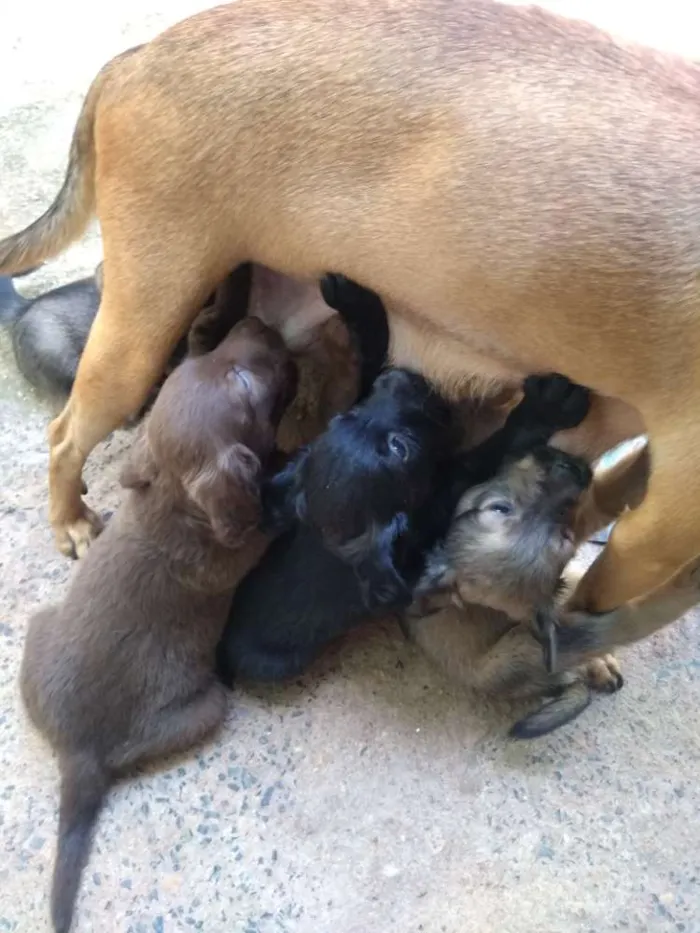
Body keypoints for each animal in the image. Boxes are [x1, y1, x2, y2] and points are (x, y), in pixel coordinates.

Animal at [17, 318, 294, 932]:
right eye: (242, 382)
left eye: (199, 358)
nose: (256, 321)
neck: (173, 497)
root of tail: (78, 754)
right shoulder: (246, 544)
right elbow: (272, 516)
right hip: (206, 707)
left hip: (40, 625)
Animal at [216, 274, 588, 680]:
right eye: (400, 448)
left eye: (345, 418)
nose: (398, 378)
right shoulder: (447, 491)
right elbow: (495, 448)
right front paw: (546, 409)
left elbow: (371, 354)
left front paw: (358, 303)